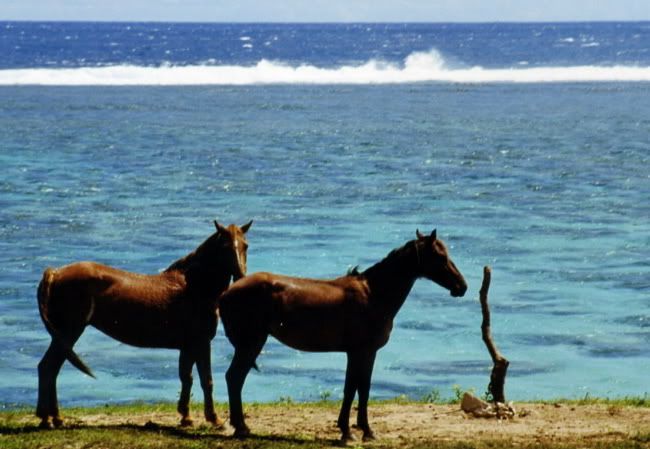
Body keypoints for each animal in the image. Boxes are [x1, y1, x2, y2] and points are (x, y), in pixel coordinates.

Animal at [34, 219, 253, 428]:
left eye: (245, 245)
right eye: (224, 246)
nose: (241, 277)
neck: (194, 286)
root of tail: (55, 273)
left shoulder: (188, 346)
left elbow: (186, 378)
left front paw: (186, 417)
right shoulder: (201, 343)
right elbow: (206, 380)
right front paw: (214, 419)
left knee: (49, 368)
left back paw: (52, 418)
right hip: (69, 332)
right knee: (49, 367)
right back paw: (49, 418)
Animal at [218, 229, 466, 440]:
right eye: (440, 256)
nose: (461, 286)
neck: (373, 294)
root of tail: (226, 293)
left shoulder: (359, 353)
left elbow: (358, 388)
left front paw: (357, 429)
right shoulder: (362, 352)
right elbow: (356, 389)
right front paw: (353, 432)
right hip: (251, 343)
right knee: (234, 378)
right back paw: (241, 427)